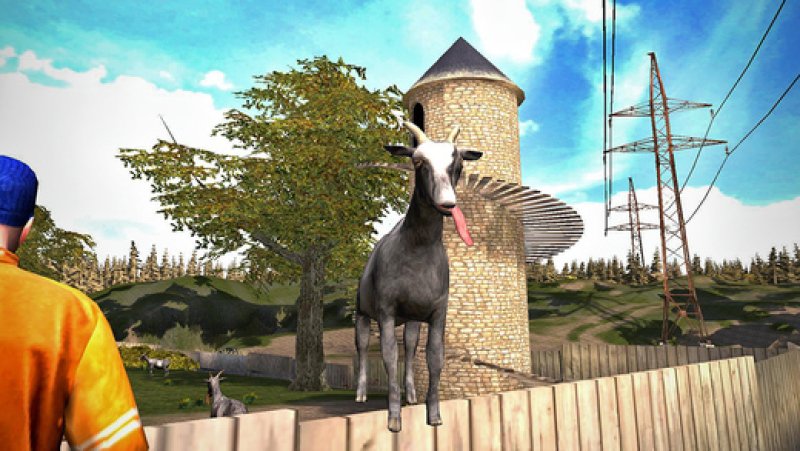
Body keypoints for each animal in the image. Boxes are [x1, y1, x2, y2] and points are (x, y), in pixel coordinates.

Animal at [355, 121, 482, 432]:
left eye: (458, 163)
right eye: (417, 162)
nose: (448, 203)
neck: (417, 250)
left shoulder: (438, 313)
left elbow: (434, 357)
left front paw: (434, 415)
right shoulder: (386, 312)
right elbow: (389, 356)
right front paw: (393, 419)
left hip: (412, 319)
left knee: (411, 347)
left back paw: (411, 394)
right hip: (362, 311)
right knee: (362, 347)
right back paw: (361, 394)